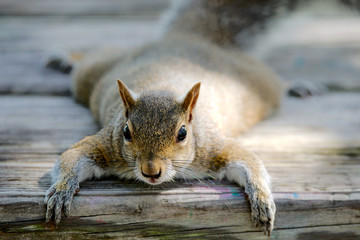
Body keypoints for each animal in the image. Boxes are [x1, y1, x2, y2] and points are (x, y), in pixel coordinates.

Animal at [43, 0, 286, 236]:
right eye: (126, 132)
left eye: (183, 133)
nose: (151, 171)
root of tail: (186, 38)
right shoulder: (108, 145)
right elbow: (73, 156)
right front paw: (62, 189)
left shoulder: (212, 148)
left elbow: (249, 161)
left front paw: (261, 196)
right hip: (91, 74)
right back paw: (69, 58)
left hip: (259, 83)